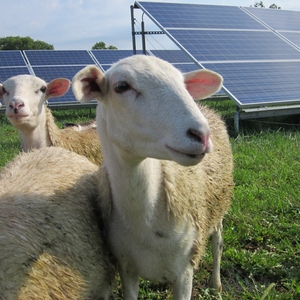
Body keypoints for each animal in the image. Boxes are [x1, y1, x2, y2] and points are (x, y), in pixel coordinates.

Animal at [71, 54, 233, 300]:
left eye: (183, 84)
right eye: (121, 87)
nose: (202, 135)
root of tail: (207, 107)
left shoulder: (185, 270)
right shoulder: (126, 267)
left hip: (217, 205)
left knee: (218, 241)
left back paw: (216, 283)